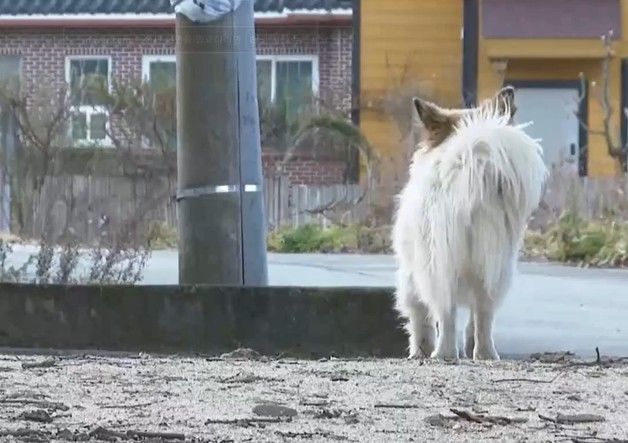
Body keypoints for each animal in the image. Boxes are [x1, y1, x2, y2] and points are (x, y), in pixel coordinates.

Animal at [392, 86, 548, 360]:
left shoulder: (411, 274)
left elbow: (420, 316)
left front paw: (420, 350)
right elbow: (474, 318)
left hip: (436, 262)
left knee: (446, 312)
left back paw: (443, 354)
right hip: (496, 265)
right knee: (484, 313)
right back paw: (484, 353)